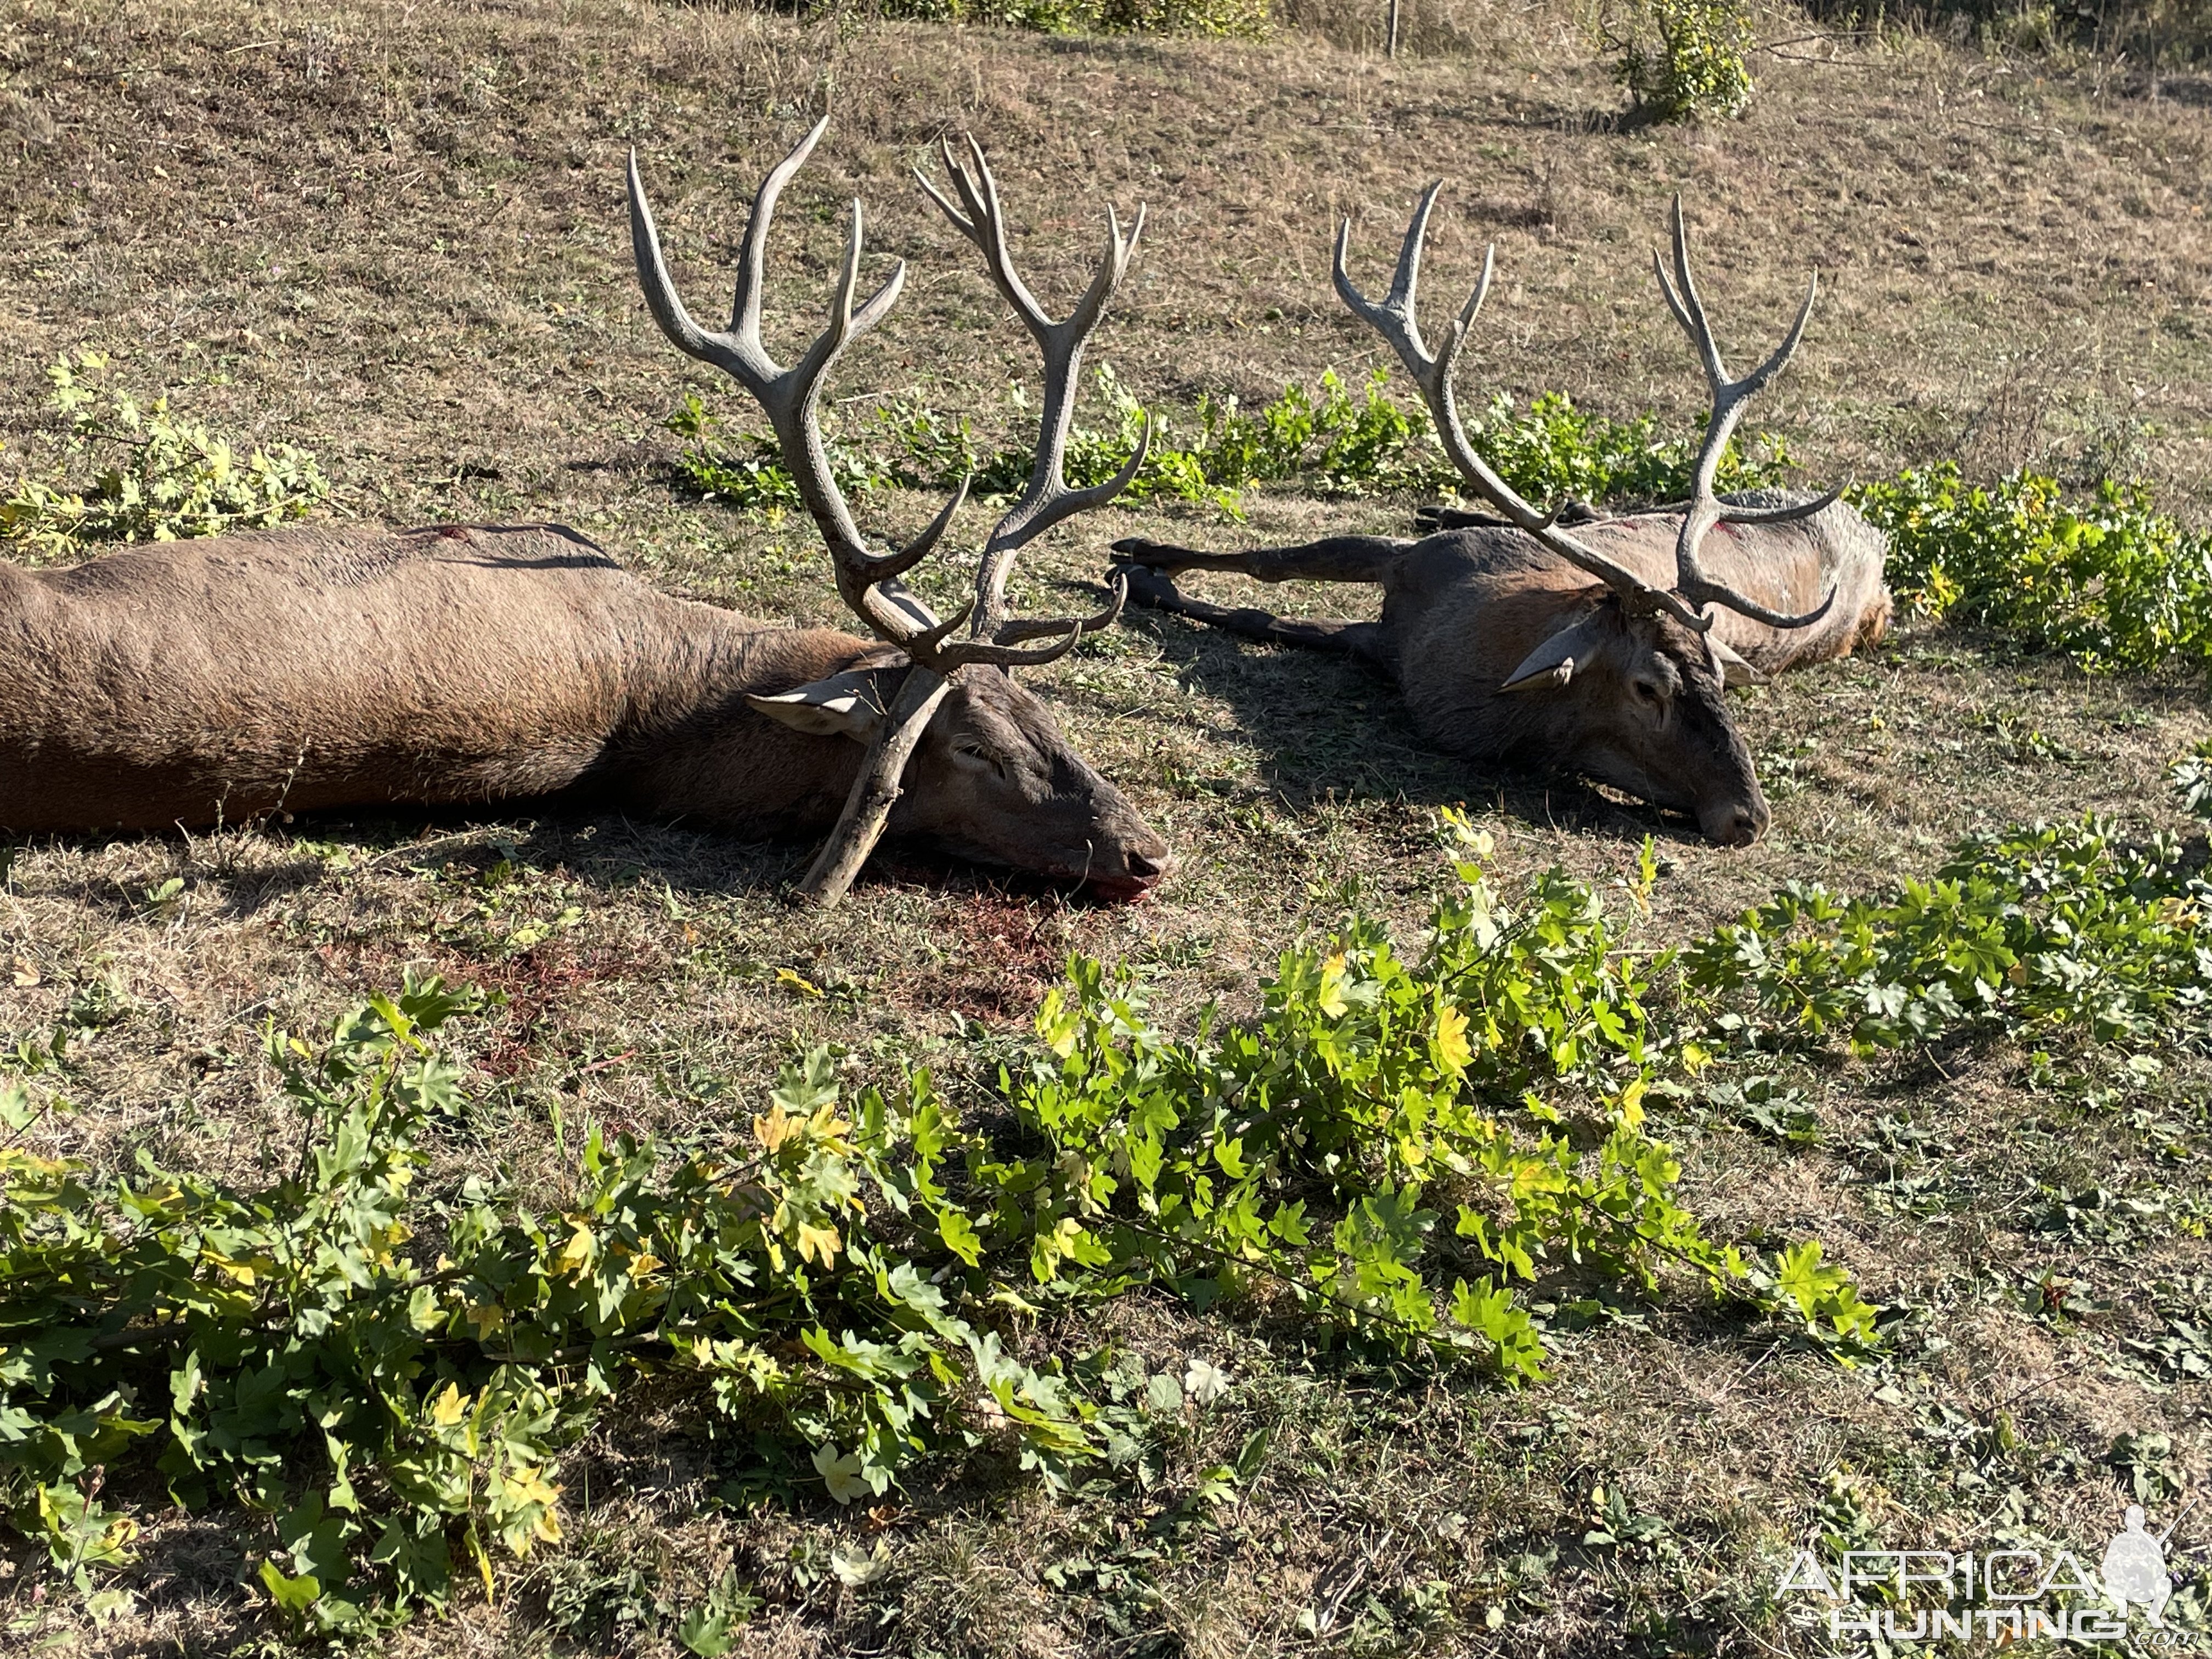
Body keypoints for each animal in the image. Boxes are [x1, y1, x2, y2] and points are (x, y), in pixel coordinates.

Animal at [1115, 188, 1893, 849]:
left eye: (1721, 679)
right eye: (1649, 687)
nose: (1749, 817)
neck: (1457, 650)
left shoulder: (1382, 646)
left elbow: (1267, 614)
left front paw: (1149, 576)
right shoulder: (1423, 559)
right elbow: (1274, 564)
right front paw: (1139, 554)